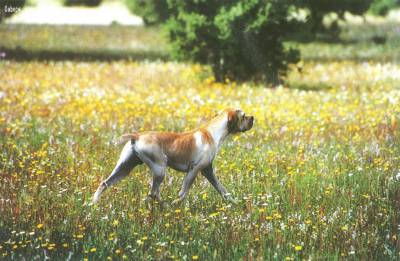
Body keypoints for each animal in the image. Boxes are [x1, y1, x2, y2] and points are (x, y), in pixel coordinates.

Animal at [93, 107, 253, 203]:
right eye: (243, 116)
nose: (253, 118)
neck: (212, 132)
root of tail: (137, 136)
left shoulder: (208, 171)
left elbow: (223, 190)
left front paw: (234, 203)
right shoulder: (194, 170)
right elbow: (183, 193)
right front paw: (176, 203)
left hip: (124, 168)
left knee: (104, 183)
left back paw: (93, 203)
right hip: (160, 169)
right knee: (153, 194)